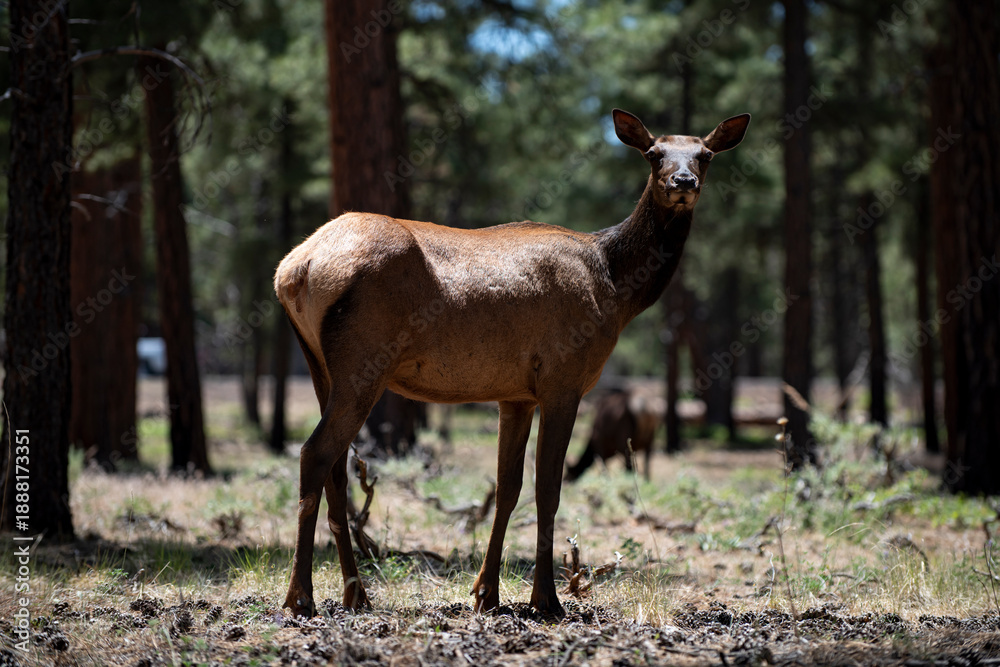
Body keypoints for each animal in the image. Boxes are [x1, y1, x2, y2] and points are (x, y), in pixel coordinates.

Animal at [274, 108, 750, 618]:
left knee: (336, 469)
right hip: (362, 362)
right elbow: (548, 488)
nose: (683, 181)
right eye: (654, 153)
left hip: (319, 366)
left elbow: (507, 488)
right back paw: (300, 596)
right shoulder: (564, 379)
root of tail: (295, 270)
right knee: (314, 453)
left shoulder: (516, 394)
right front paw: (546, 598)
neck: (617, 289)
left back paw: (355, 593)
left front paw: (487, 592)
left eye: (705, 154)